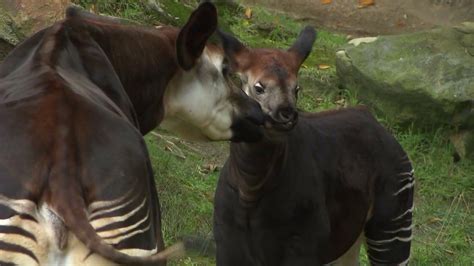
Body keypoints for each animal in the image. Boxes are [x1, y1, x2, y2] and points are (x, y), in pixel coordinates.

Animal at [213, 28, 412, 264]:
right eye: (259, 87)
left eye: (296, 88)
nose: (287, 115)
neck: (251, 187)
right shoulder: (227, 244)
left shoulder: (305, 244)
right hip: (351, 237)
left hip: (391, 224)